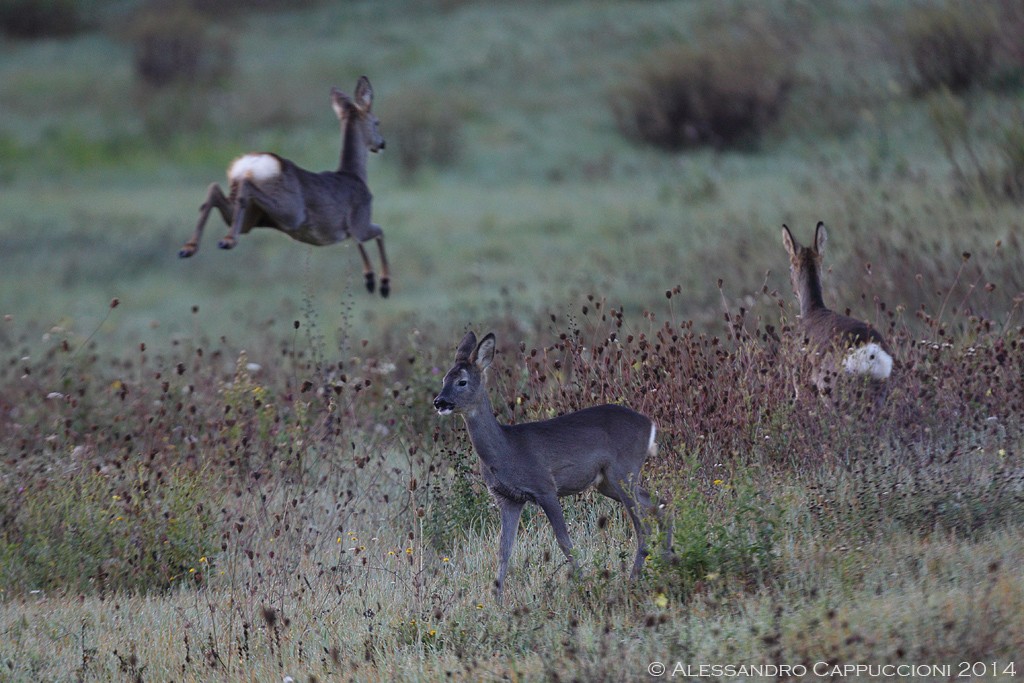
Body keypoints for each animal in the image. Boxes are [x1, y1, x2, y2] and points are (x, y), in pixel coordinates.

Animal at [178, 76, 389, 296]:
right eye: (377, 122)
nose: (382, 144)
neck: (355, 175)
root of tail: (251, 163)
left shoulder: (353, 229)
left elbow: (362, 241)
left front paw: (371, 280)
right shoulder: (360, 221)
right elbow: (379, 232)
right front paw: (380, 284)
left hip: (252, 217)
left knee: (214, 190)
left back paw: (189, 247)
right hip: (290, 211)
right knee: (245, 186)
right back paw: (226, 241)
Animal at [434, 331, 667, 602]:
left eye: (461, 381)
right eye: (444, 378)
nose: (439, 402)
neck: (506, 450)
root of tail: (649, 425)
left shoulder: (545, 487)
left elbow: (564, 541)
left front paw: (584, 585)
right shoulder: (508, 498)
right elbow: (503, 549)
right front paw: (497, 598)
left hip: (623, 472)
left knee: (644, 526)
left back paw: (634, 580)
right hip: (609, 482)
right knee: (660, 505)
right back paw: (668, 561)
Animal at [778, 222, 892, 401]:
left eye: (790, 268)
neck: (812, 310)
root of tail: (870, 353)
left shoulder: (800, 380)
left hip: (830, 387)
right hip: (880, 391)